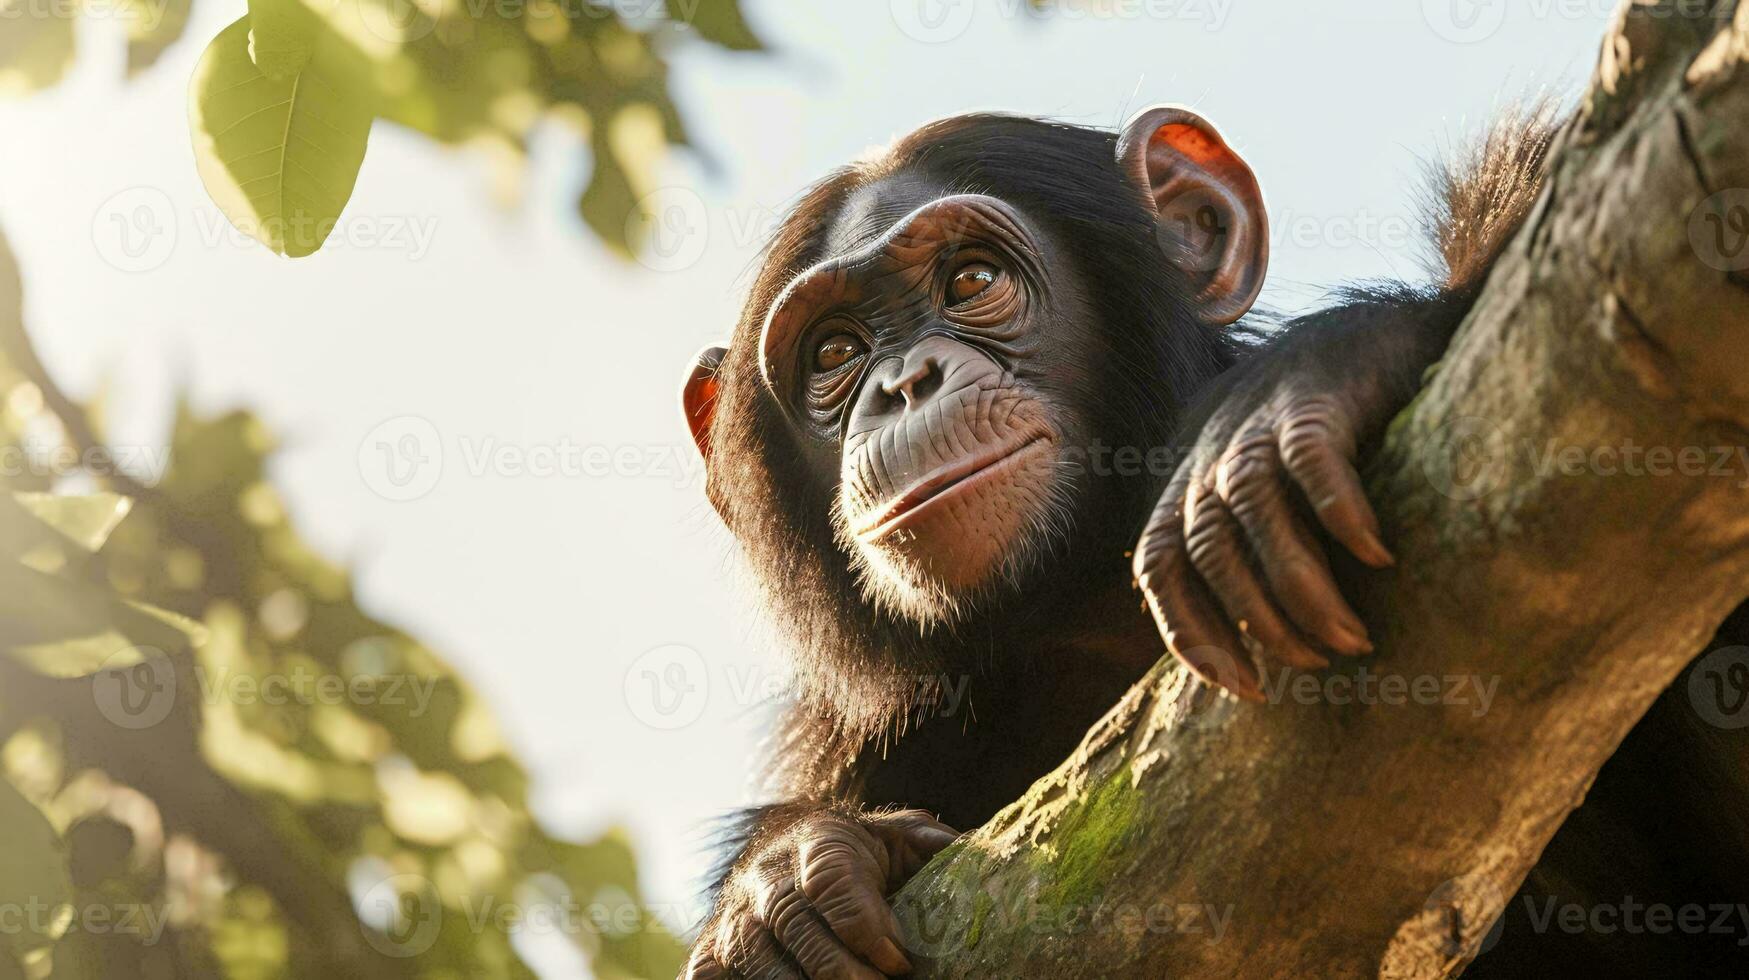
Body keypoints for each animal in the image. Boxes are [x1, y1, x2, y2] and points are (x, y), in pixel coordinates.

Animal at [671, 103, 1749, 973]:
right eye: (836, 352)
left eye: (970, 278)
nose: (903, 385)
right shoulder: (847, 737)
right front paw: (781, 885)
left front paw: (1313, 378)